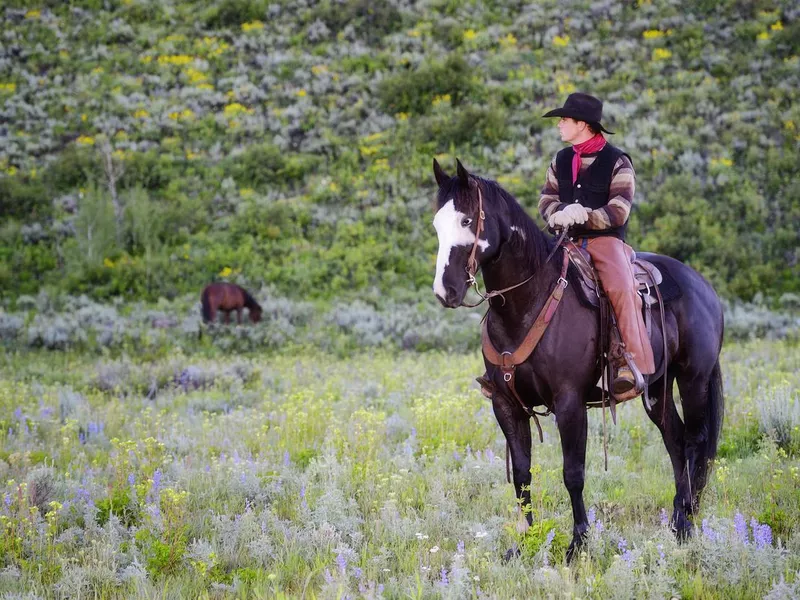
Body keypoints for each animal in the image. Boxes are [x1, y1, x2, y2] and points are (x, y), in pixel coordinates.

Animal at [432, 158, 724, 556]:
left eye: (465, 220)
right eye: (436, 224)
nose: (444, 290)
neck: (528, 303)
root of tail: (704, 287)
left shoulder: (570, 403)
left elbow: (573, 473)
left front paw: (578, 543)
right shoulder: (506, 404)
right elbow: (522, 476)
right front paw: (523, 544)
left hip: (693, 380)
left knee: (695, 442)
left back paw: (687, 524)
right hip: (657, 390)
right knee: (676, 442)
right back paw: (678, 522)